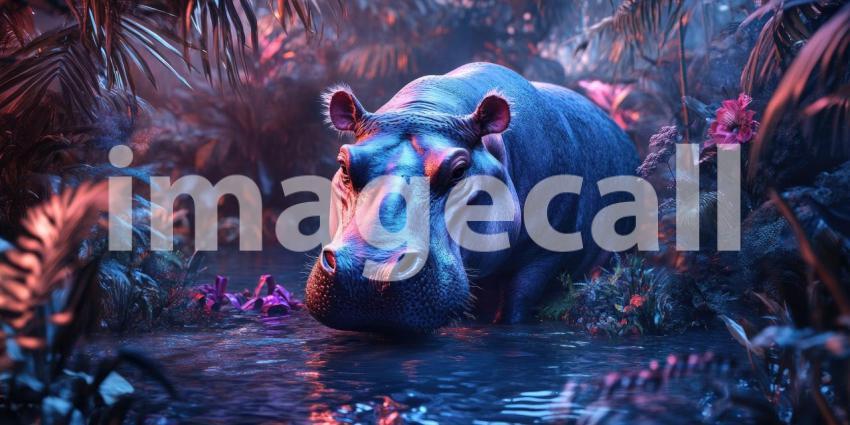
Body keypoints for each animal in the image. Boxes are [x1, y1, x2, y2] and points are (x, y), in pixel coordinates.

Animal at [306, 62, 638, 334]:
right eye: (344, 163)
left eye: (459, 170)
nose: (367, 271)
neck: (431, 108)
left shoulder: (543, 255)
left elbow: (517, 304)